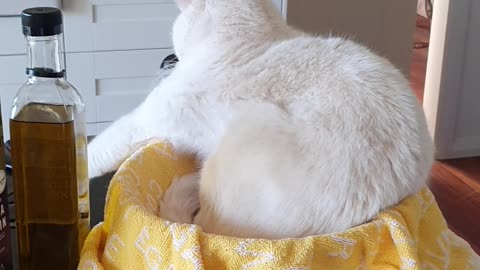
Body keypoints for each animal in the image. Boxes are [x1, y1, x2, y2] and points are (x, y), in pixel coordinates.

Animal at [87, 0, 436, 239]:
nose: (169, 59)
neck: (244, 40)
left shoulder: (145, 119)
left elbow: (96, 151)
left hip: (242, 133)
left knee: (200, 222)